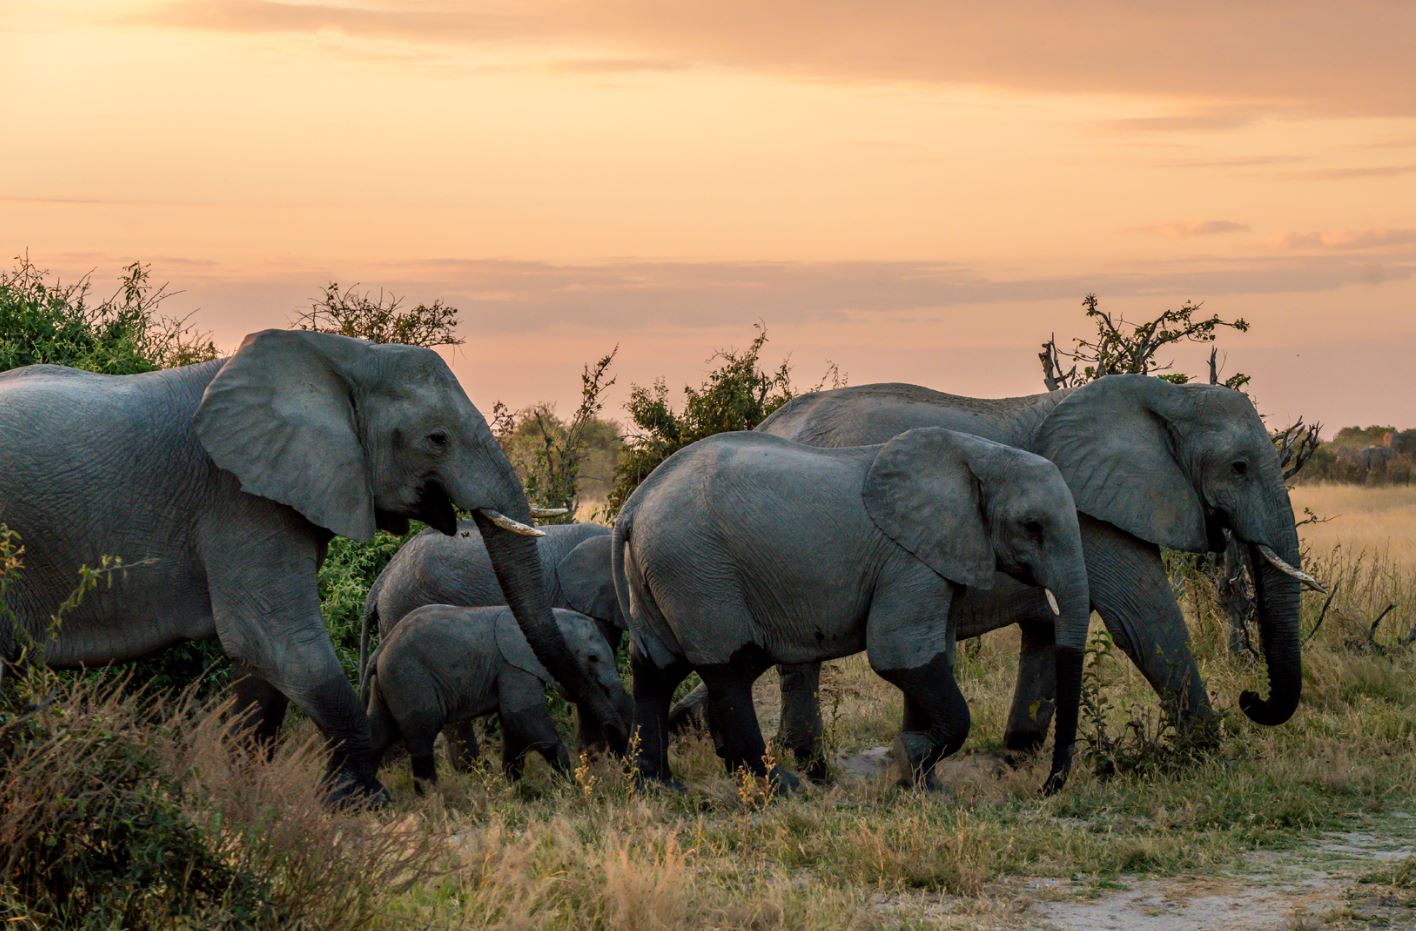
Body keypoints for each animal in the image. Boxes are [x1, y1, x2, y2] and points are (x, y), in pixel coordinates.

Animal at [365, 605, 631, 791]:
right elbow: (521, 714)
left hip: (391, 684)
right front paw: (571, 787)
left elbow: (513, 727)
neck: (555, 617)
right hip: (409, 680)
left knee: (379, 734)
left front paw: (515, 789)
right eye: (592, 658)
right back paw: (431, 801)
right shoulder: (513, 666)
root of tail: (379, 651)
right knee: (421, 737)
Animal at [615, 427, 1092, 794]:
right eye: (1032, 526)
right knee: (729, 671)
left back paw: (658, 787)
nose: (1045, 788)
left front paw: (922, 786)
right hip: (697, 570)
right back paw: (783, 788)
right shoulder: (907, 561)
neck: (978, 455)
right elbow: (899, 654)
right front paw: (908, 757)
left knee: (657, 669)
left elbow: (932, 657)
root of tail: (633, 508)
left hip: (663, 571)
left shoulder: (937, 559)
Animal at [703, 374, 1317, 777]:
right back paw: (812, 768)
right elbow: (1141, 615)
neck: (1166, 395)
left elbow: (1049, 629)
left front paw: (1015, 758)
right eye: (1239, 467)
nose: (1251, 698)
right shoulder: (1088, 507)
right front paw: (1210, 756)